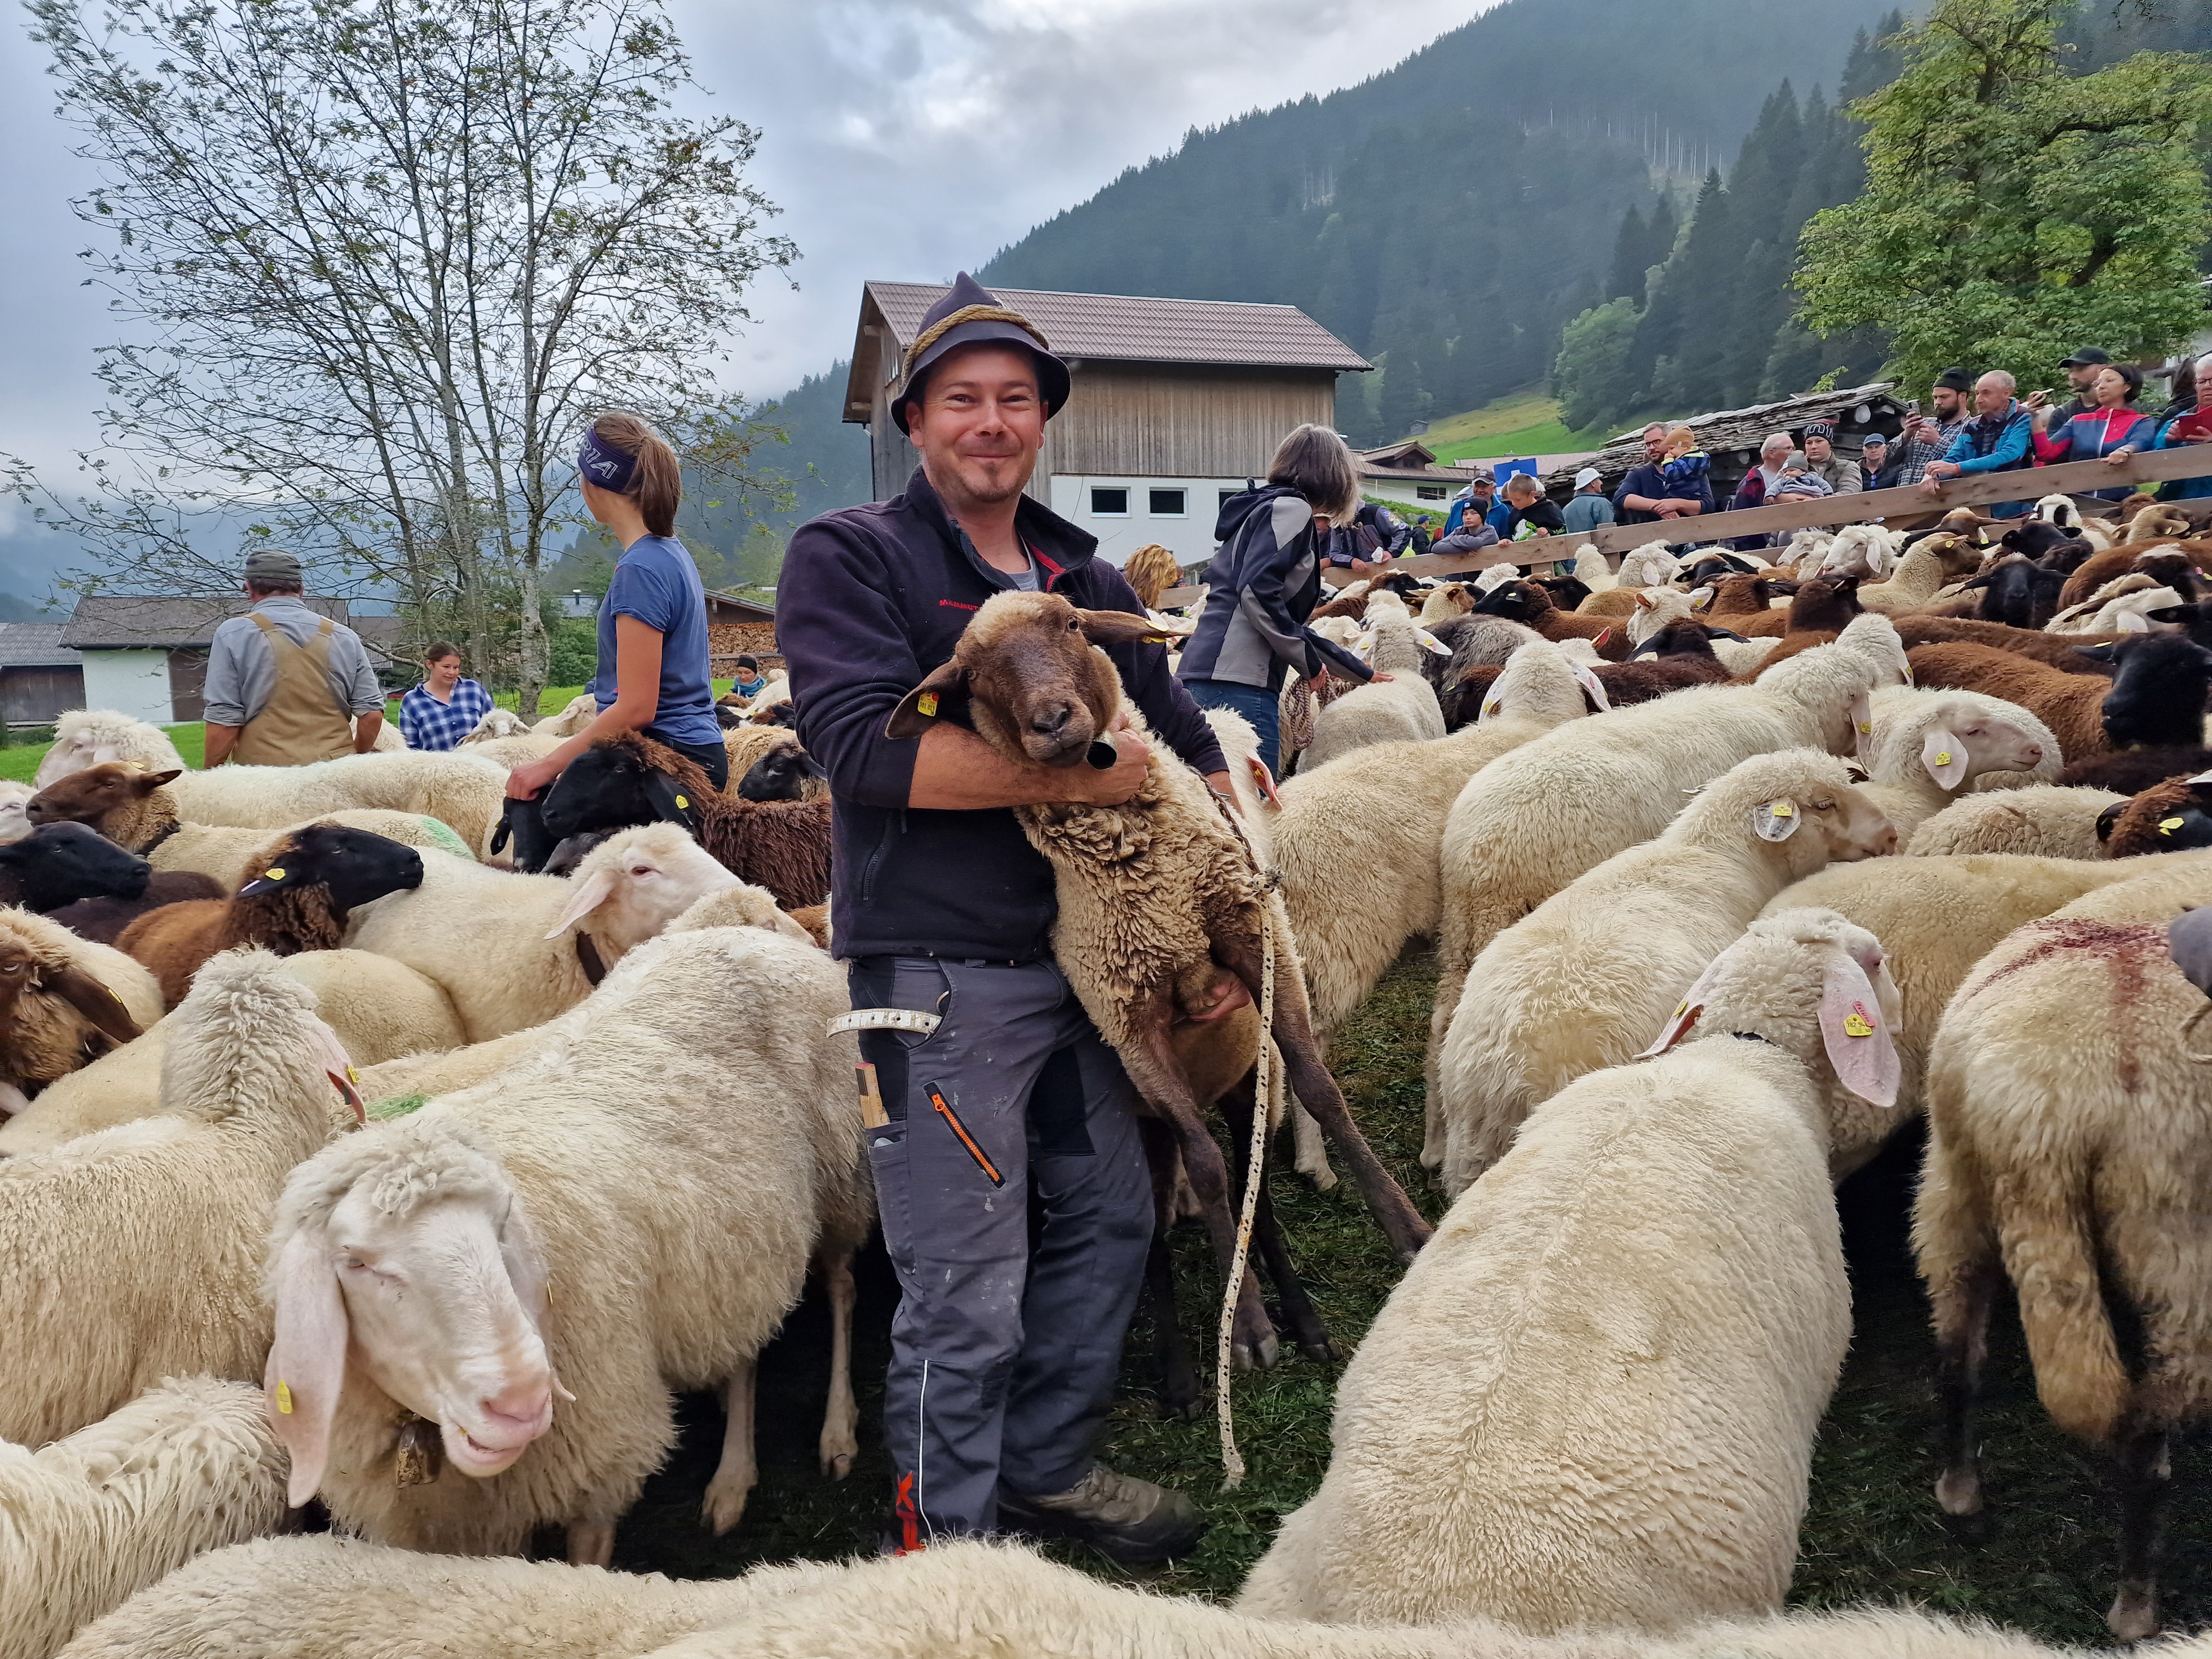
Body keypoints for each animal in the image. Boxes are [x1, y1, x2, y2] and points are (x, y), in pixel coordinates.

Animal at [259, 920, 871, 1562]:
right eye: (356, 1262)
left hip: (841, 1179)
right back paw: (732, 1478)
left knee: (841, 1288)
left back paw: (836, 1431)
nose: (523, 1402)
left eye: (504, 1225)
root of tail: (744, 931)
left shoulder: (603, 1452)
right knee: (743, 1345)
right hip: (736, 1244)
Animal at [887, 590, 1431, 1368]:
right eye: (972, 676)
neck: (1156, 886)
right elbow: (1205, 1167)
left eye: (1072, 624)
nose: (1052, 722)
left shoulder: (1255, 937)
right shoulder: (1129, 1019)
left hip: (1246, 1074)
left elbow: (1321, 1089)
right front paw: (1249, 1326)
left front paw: (1406, 1226)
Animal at [1426, 622, 1893, 1162]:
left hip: (1463, 936)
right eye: (1824, 803)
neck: (1781, 708)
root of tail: (1485, 853)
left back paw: (1434, 1143)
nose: (1889, 837)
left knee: (1442, 1023)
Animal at [1916, 865, 2212, 1639]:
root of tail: (2038, 1117)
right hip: (2169, 1232)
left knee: (1956, 1355)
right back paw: (2135, 1606)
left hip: (1955, 1186)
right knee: (2143, 1437)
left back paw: (1960, 1495)